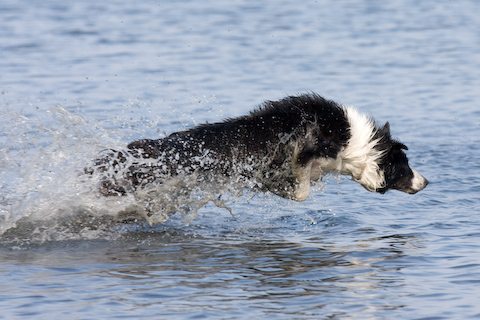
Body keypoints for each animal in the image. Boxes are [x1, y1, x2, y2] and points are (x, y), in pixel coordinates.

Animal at [88, 92, 430, 202]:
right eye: (405, 164)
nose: (427, 182)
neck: (359, 144)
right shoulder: (308, 144)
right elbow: (301, 188)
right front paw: (284, 186)